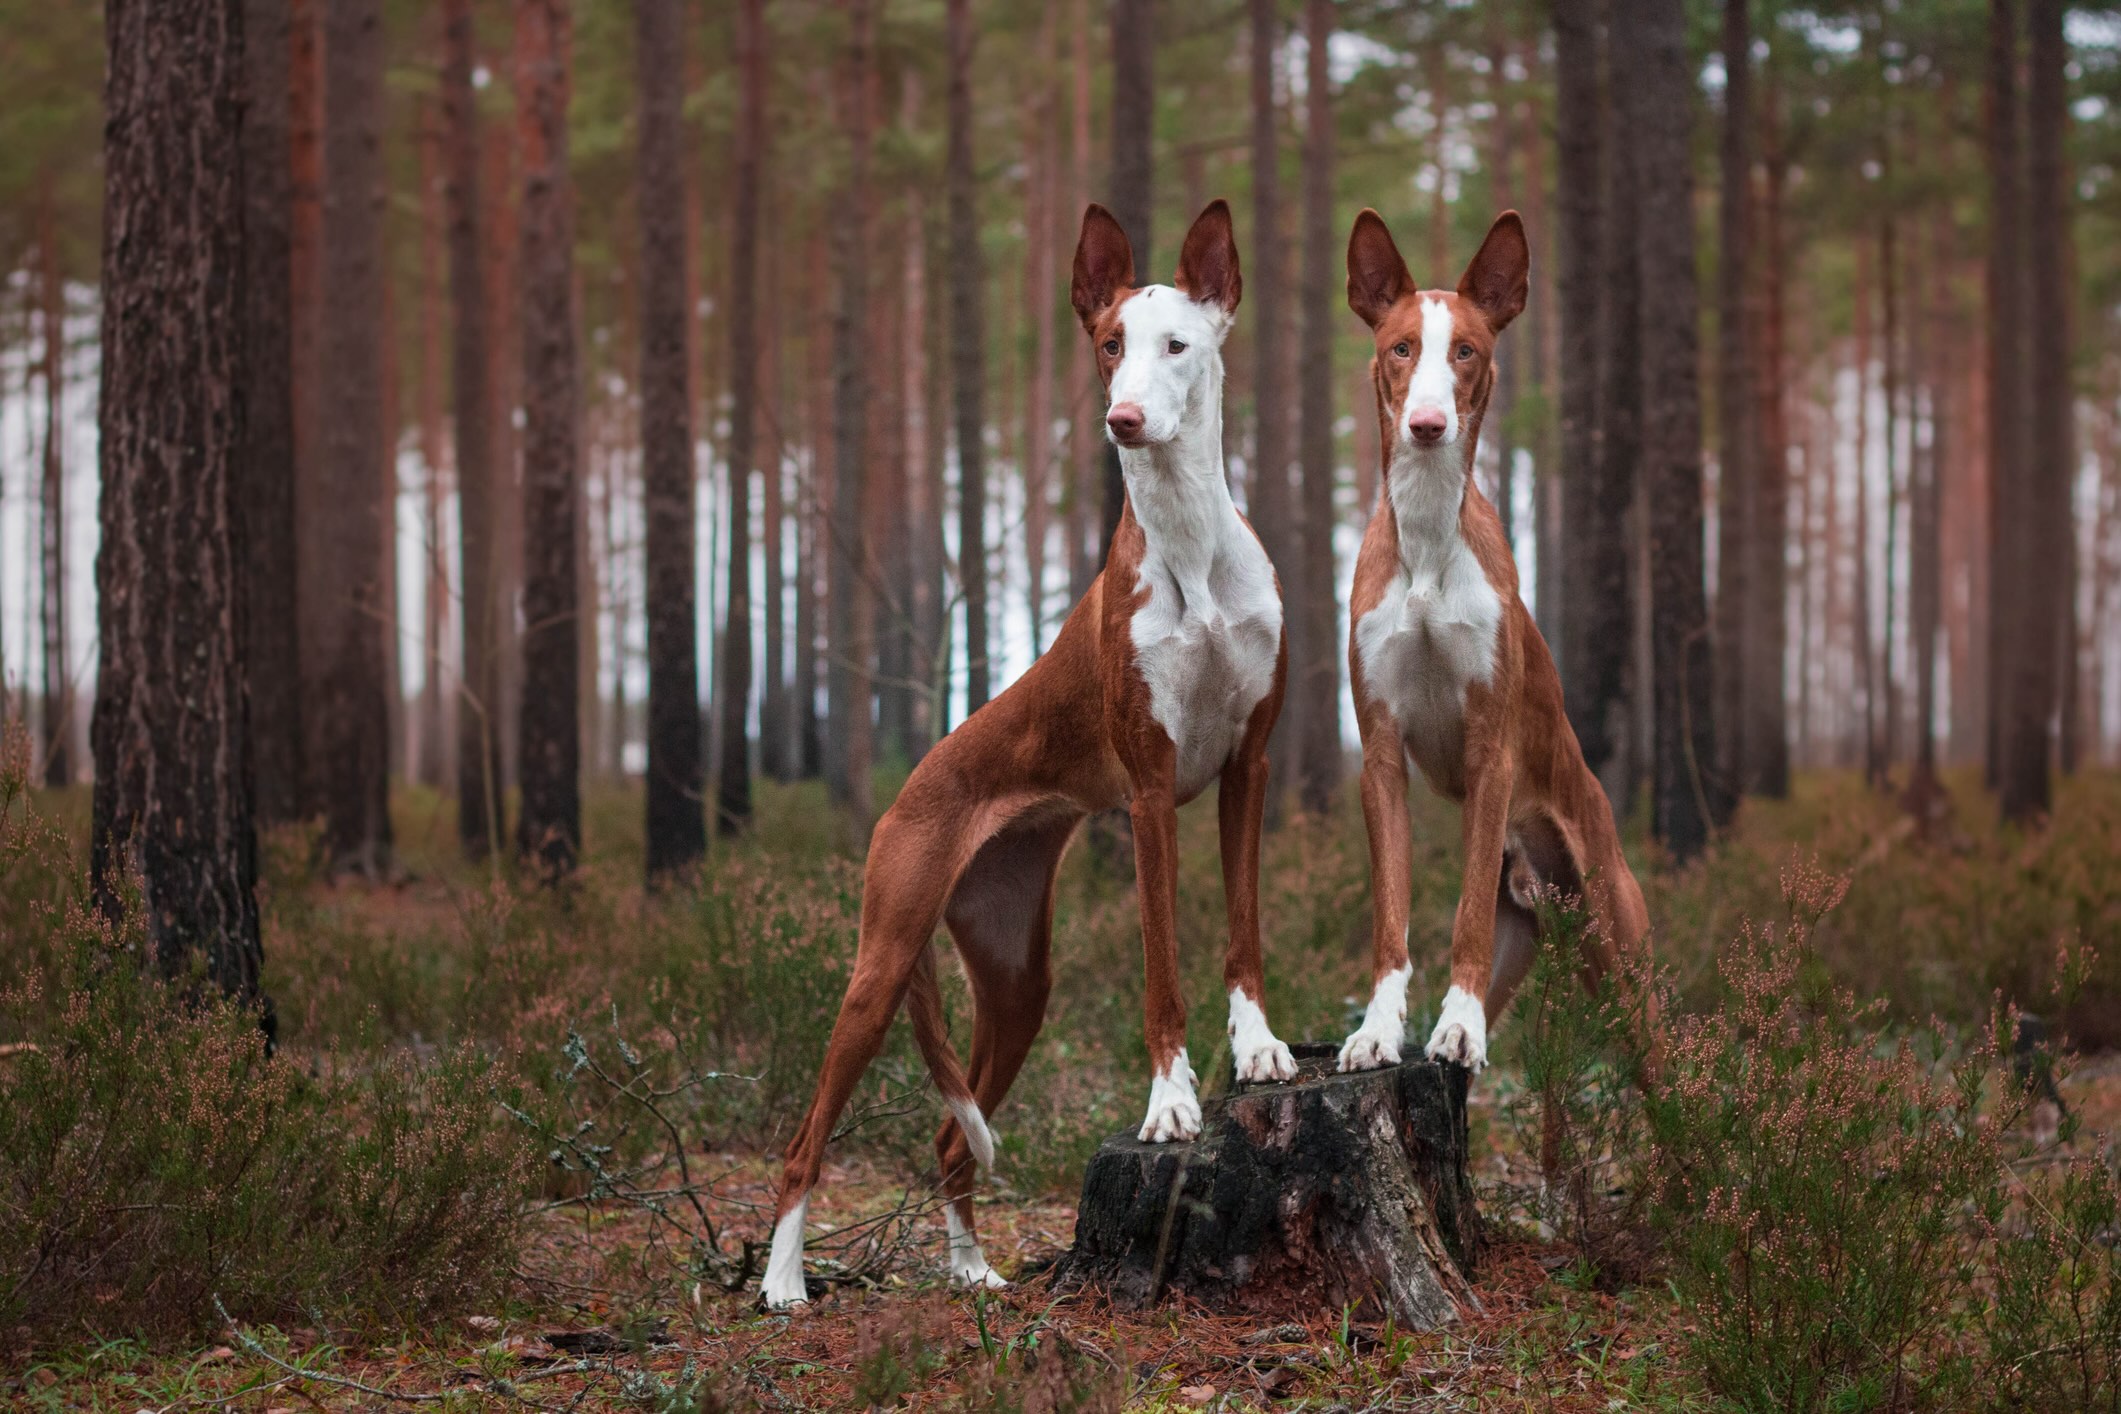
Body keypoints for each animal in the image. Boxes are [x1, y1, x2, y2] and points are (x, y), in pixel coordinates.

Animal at [755, 199, 1645, 1314]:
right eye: (1108, 345)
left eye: (1177, 345)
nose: (1124, 419)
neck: (1191, 548)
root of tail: (908, 786)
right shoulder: (1155, 791)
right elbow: (1166, 965)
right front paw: (1175, 1100)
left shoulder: (1263, 770)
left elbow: (1267, 927)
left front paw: (1274, 1049)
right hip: (890, 964)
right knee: (812, 1140)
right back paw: (791, 1281)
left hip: (1022, 983)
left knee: (951, 1142)